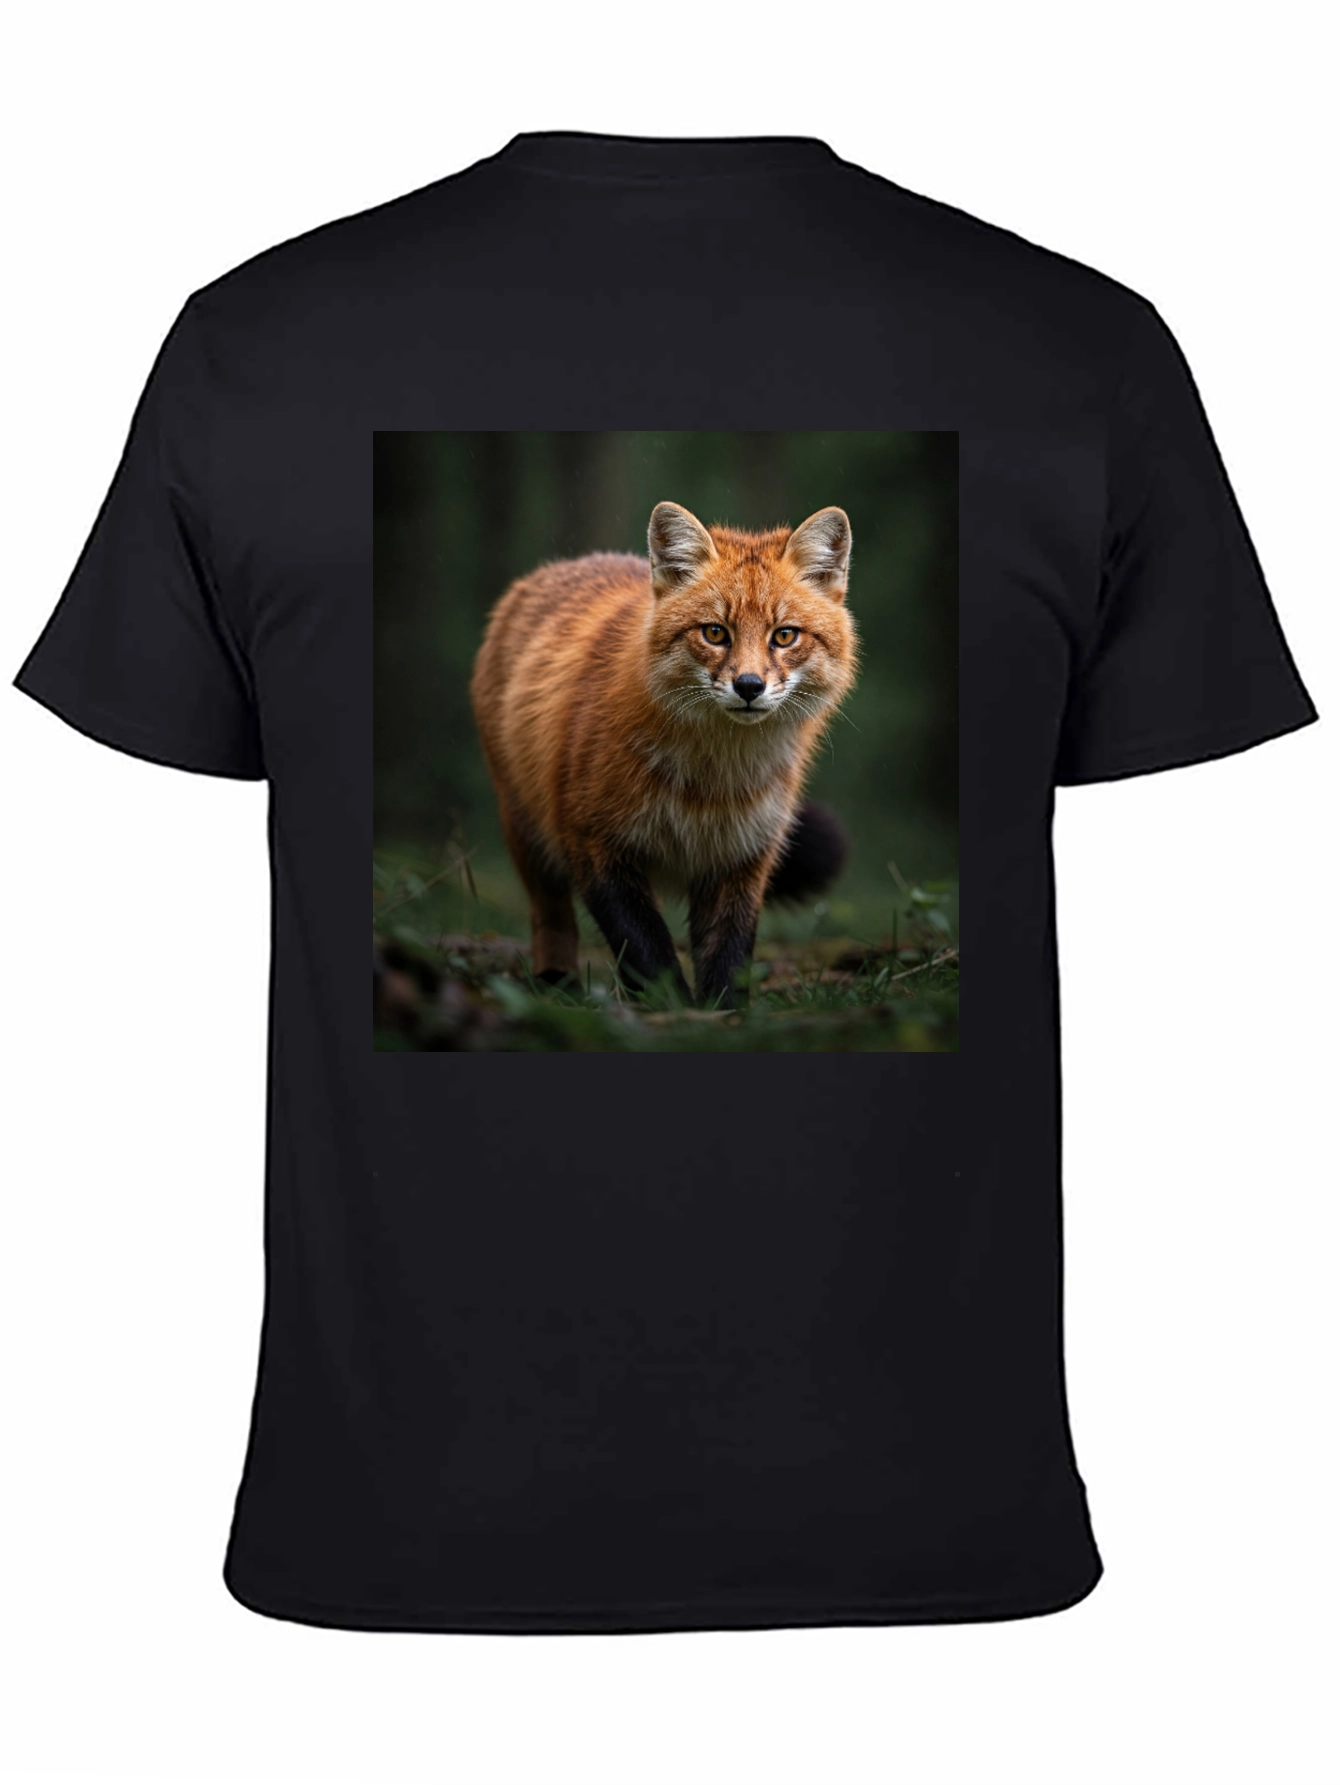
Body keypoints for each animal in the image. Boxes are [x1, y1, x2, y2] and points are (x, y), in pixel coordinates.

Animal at [470, 500, 859, 1006]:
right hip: (527, 832)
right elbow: (647, 950)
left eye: (784, 636)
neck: (709, 787)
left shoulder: (743, 855)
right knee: (550, 916)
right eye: (715, 633)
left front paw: (723, 1014)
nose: (749, 686)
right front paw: (672, 1010)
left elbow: (728, 954)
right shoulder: (593, 843)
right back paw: (558, 982)